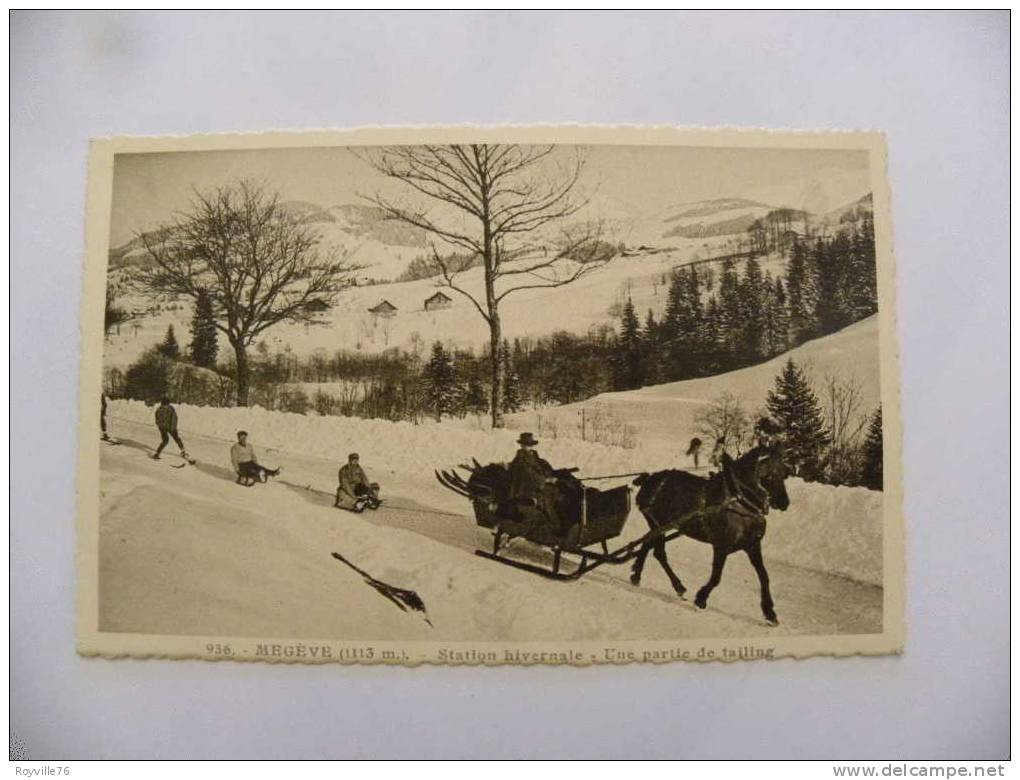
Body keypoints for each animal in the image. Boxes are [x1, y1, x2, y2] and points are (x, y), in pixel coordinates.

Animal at [624, 444, 791, 619]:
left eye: (784, 473)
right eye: (770, 474)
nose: (784, 503)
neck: (740, 502)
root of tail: (651, 478)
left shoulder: (752, 546)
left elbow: (764, 576)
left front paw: (769, 612)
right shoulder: (721, 546)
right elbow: (716, 577)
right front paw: (701, 599)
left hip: (658, 526)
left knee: (647, 545)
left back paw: (639, 575)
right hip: (658, 523)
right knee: (658, 552)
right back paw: (675, 585)